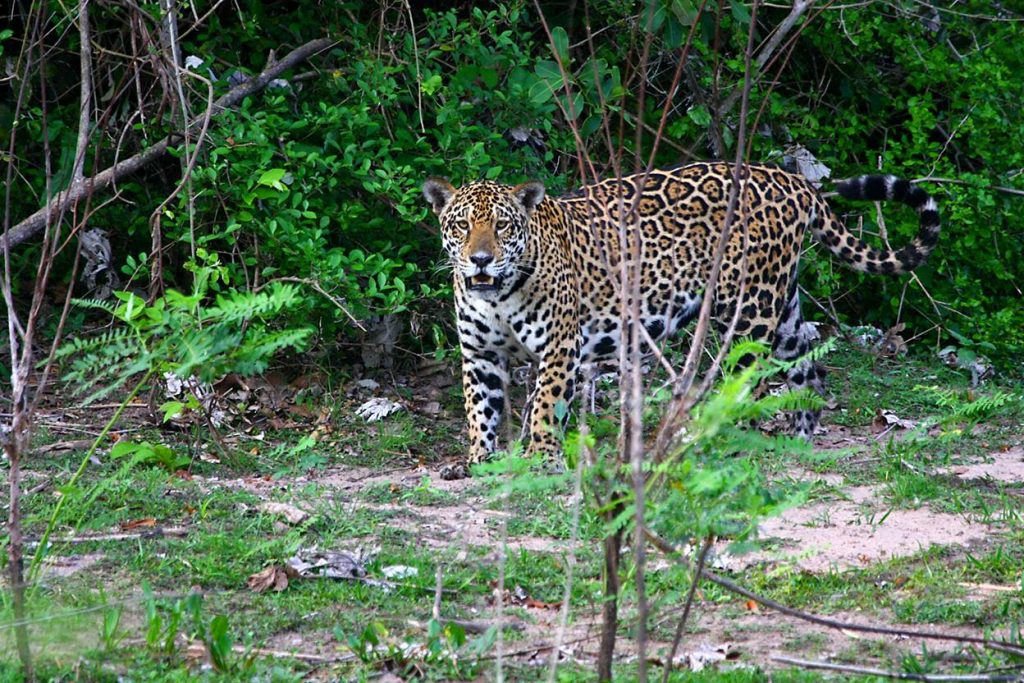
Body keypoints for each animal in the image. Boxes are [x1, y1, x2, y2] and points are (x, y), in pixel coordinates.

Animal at [423, 162, 940, 478]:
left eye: (503, 226)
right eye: (461, 226)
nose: (481, 260)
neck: (498, 294)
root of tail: (790, 180)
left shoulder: (559, 348)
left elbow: (546, 407)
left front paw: (540, 458)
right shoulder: (480, 355)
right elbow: (480, 408)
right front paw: (476, 459)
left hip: (749, 309)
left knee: (749, 383)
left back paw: (729, 446)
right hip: (781, 304)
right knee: (809, 358)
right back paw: (799, 437)